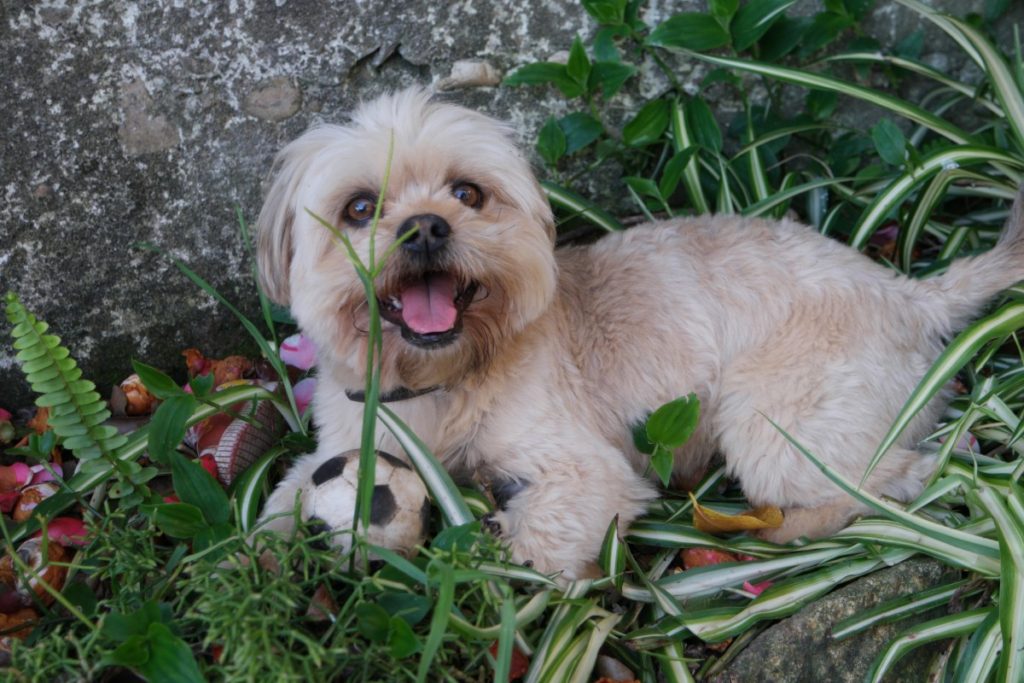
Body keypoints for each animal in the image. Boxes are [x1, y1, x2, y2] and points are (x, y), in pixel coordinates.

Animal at [253, 87, 1024, 577]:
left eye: (468, 193)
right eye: (359, 208)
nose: (426, 226)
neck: (441, 380)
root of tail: (912, 293)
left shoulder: (586, 474)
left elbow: (521, 551)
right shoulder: (338, 448)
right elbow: (280, 502)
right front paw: (254, 570)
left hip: (777, 428)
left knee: (903, 477)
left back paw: (792, 526)